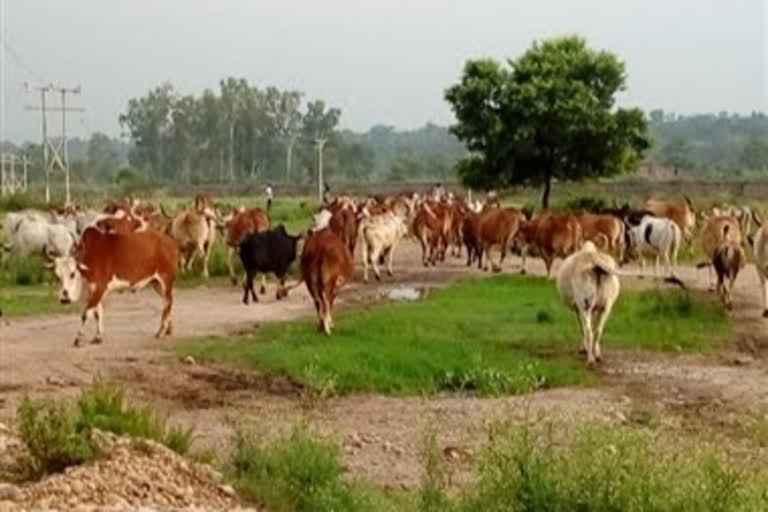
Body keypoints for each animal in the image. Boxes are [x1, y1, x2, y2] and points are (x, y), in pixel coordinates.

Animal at [50, 226, 179, 346]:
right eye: (58, 276)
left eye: (72, 274)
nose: (64, 299)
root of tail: (171, 243)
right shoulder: (93, 291)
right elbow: (97, 313)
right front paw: (98, 337)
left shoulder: (100, 288)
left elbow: (86, 314)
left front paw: (78, 339)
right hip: (155, 283)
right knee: (168, 301)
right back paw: (168, 329)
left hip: (165, 280)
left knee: (167, 302)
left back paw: (160, 331)